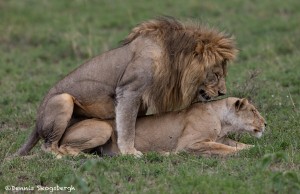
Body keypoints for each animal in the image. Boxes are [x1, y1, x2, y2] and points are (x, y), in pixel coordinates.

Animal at [17, 16, 237, 156]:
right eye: (216, 75)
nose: (222, 92)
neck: (172, 57)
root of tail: (36, 122)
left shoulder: (143, 99)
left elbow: (133, 124)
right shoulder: (129, 90)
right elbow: (127, 126)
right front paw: (130, 152)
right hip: (63, 99)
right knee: (48, 147)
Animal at [55, 98, 264, 157]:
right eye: (253, 111)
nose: (266, 124)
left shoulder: (223, 137)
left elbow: (235, 143)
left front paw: (254, 148)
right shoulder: (189, 144)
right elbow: (222, 148)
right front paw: (243, 152)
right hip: (104, 129)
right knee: (63, 149)